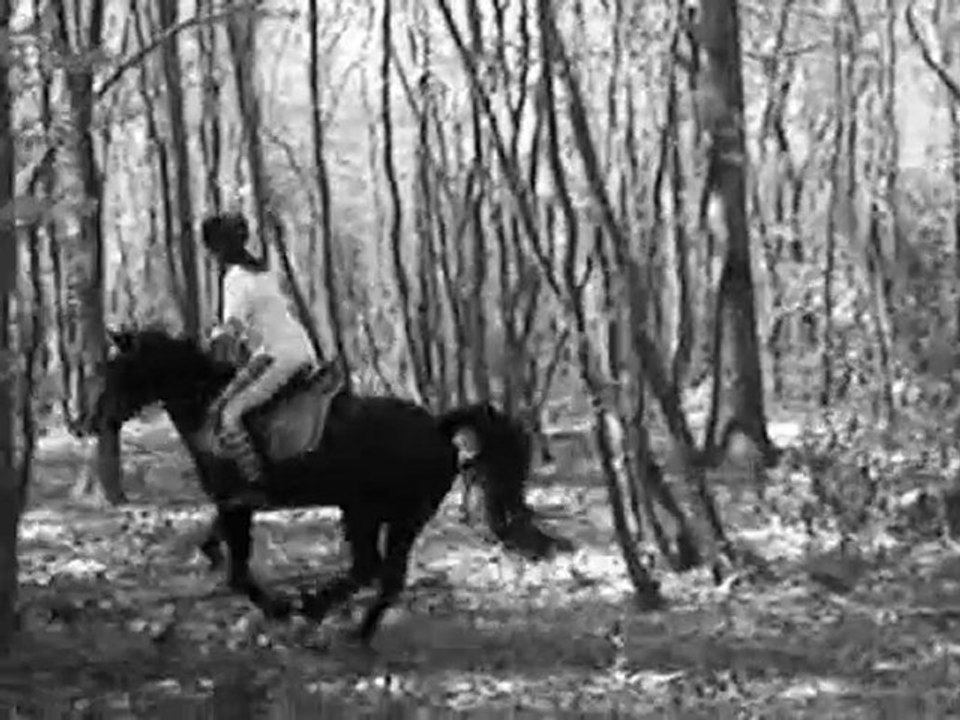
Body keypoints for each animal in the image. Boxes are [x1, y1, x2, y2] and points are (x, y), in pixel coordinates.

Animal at [85, 327, 566, 645]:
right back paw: (350, 626)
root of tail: (437, 428)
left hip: (371, 511)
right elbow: (214, 547)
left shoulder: (235, 504)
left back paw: (318, 611)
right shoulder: (231, 504)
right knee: (382, 574)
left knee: (373, 570)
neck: (206, 405)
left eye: (120, 368)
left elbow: (239, 574)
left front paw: (279, 609)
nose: (91, 420)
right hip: (389, 514)